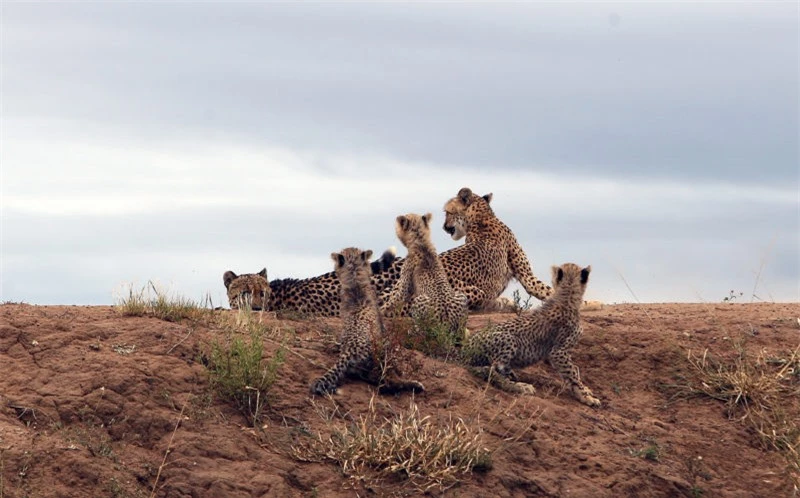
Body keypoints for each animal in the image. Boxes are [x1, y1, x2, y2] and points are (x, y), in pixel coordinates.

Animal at [382, 212, 468, 340]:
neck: (420, 240)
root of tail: (447, 323)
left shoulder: (404, 288)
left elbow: (395, 299)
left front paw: (381, 311)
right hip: (461, 296)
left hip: (420, 300)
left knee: (423, 331)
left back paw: (413, 330)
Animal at [462, 262, 600, 406]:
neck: (567, 295)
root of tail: (463, 348)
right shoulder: (558, 352)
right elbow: (571, 372)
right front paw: (586, 396)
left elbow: (575, 371)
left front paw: (585, 390)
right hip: (508, 339)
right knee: (490, 371)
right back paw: (521, 387)